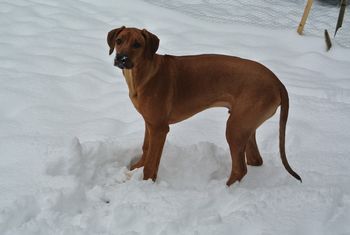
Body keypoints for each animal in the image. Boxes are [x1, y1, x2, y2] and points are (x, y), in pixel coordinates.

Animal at [106, 26, 300, 185]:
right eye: (119, 41)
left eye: (137, 44)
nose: (121, 58)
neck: (144, 73)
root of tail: (278, 82)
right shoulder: (150, 122)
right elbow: (146, 148)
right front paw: (136, 168)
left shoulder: (160, 128)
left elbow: (152, 162)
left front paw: (146, 182)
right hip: (245, 124)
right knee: (255, 160)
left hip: (235, 128)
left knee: (240, 169)